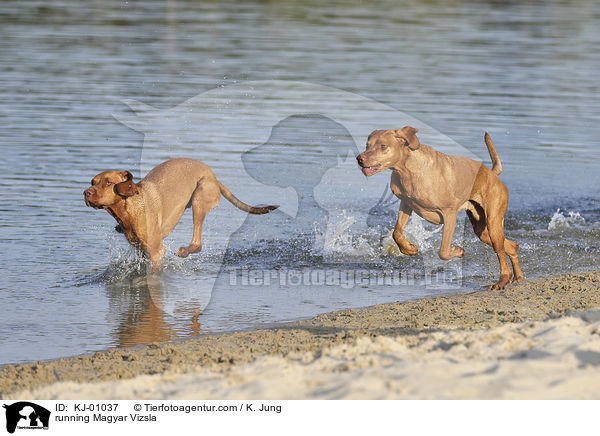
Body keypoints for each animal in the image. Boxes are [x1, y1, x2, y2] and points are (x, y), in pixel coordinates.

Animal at [84, 158, 278, 270]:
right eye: (93, 182)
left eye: (108, 183)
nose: (86, 192)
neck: (128, 209)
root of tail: (214, 176)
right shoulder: (140, 249)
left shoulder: (156, 251)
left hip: (199, 197)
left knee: (198, 243)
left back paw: (185, 250)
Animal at [358, 127, 524, 290]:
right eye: (367, 145)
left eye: (383, 146)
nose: (360, 159)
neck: (408, 170)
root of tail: (493, 174)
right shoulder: (406, 203)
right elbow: (396, 232)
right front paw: (409, 249)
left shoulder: (449, 213)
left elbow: (443, 251)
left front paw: (458, 251)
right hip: (481, 229)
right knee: (510, 246)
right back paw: (518, 277)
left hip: (493, 222)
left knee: (501, 252)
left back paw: (502, 281)